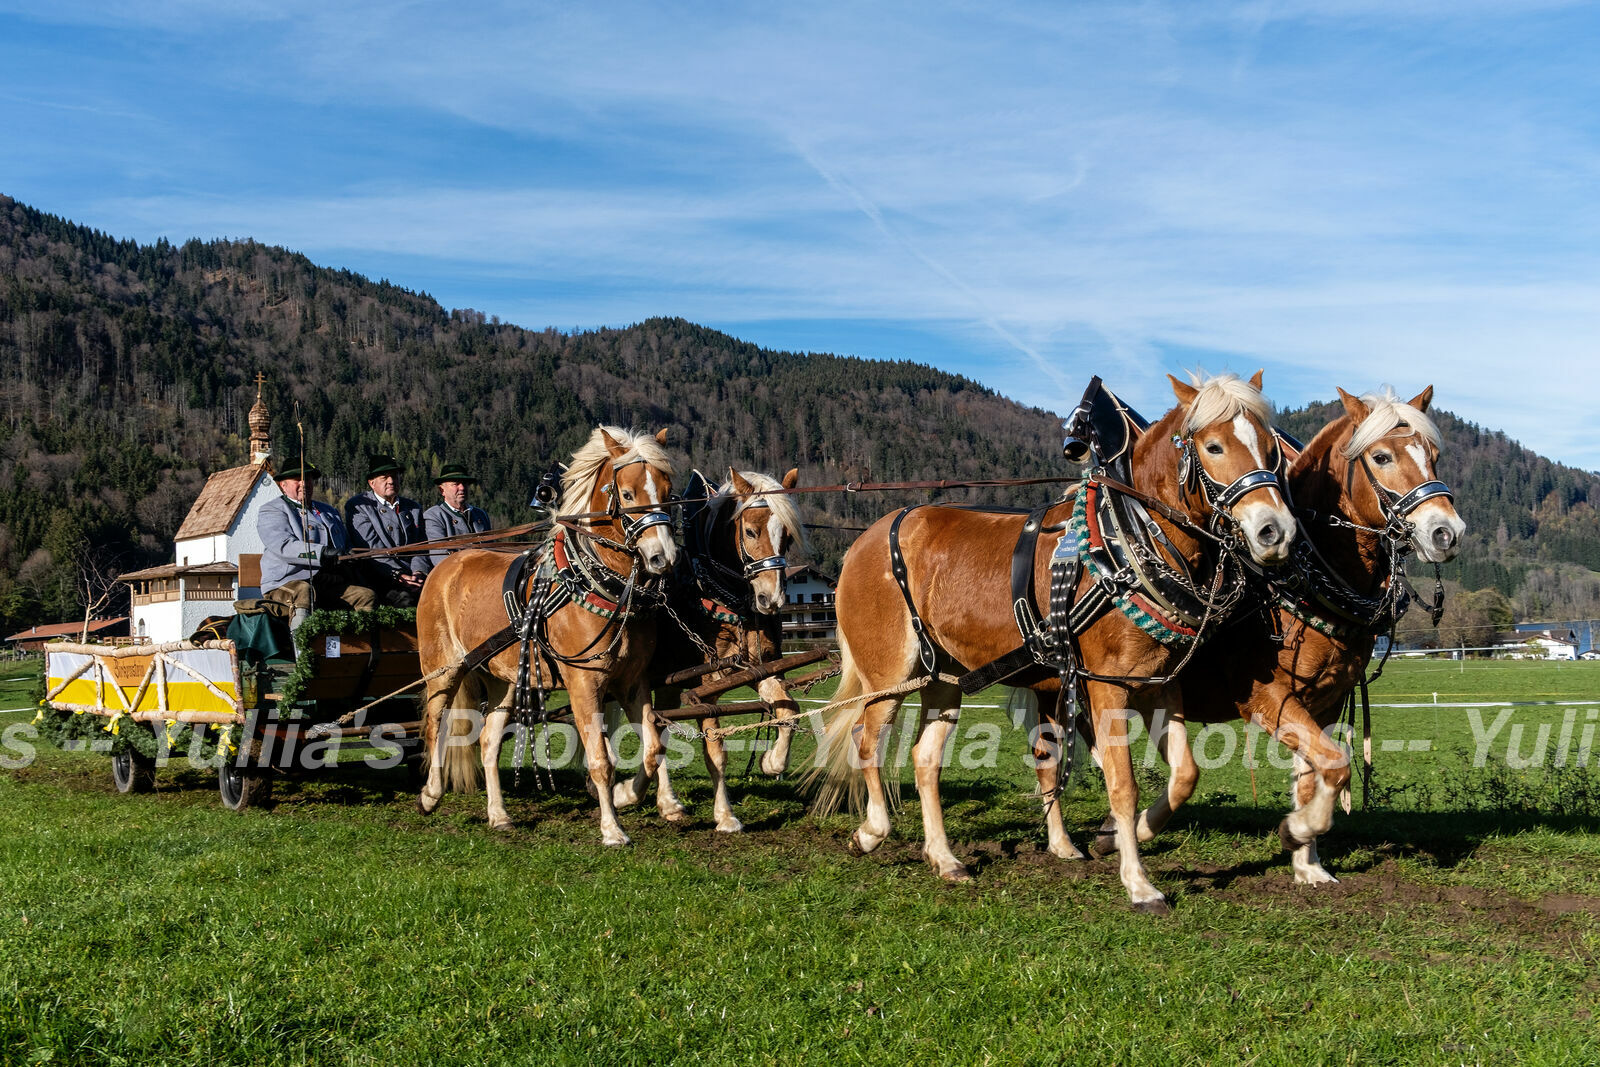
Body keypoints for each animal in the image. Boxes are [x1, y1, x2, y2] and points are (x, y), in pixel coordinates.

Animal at [412, 425, 675, 844]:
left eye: (668, 490)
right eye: (628, 494)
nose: (662, 557)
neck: (601, 588)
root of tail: (448, 563)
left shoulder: (633, 681)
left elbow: (652, 749)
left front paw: (648, 800)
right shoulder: (584, 683)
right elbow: (600, 759)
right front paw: (612, 828)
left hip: (502, 679)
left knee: (488, 742)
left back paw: (499, 814)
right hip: (443, 669)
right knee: (435, 726)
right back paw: (430, 794)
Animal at [611, 470, 812, 831]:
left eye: (787, 537)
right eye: (750, 531)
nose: (772, 599)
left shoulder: (761, 666)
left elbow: (788, 709)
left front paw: (772, 762)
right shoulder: (709, 682)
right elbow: (715, 750)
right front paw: (726, 815)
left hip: (665, 684)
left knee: (656, 731)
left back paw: (665, 802)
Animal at [812, 374, 1299, 908]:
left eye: (1269, 449)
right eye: (1213, 446)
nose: (1276, 532)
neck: (1127, 540)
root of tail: (865, 540)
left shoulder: (1158, 684)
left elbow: (1184, 775)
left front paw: (1124, 835)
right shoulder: (1106, 686)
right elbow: (1121, 782)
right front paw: (1138, 881)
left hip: (944, 678)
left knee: (925, 759)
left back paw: (944, 858)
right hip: (890, 676)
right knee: (866, 741)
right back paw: (871, 831)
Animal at [1120, 388, 1465, 883]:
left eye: (1434, 456)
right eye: (1381, 456)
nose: (1447, 533)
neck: (1301, 586)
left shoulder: (1325, 700)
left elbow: (1314, 774)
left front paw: (1308, 863)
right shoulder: (1268, 698)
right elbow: (1335, 765)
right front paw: (1296, 830)